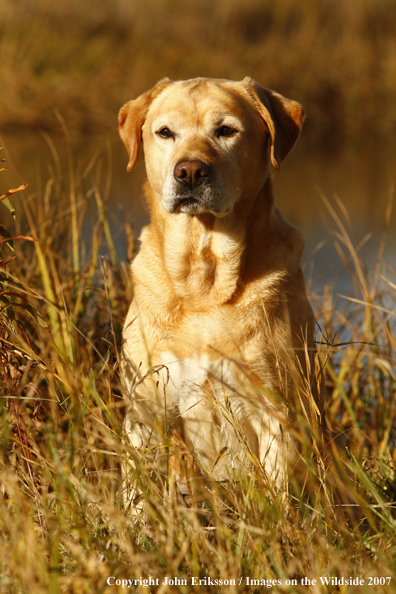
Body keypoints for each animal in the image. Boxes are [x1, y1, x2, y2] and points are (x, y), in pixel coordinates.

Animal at [118, 76, 318, 506]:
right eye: (165, 132)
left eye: (226, 130)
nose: (190, 171)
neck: (202, 281)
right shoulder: (146, 409)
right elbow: (137, 498)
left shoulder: (277, 413)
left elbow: (280, 501)